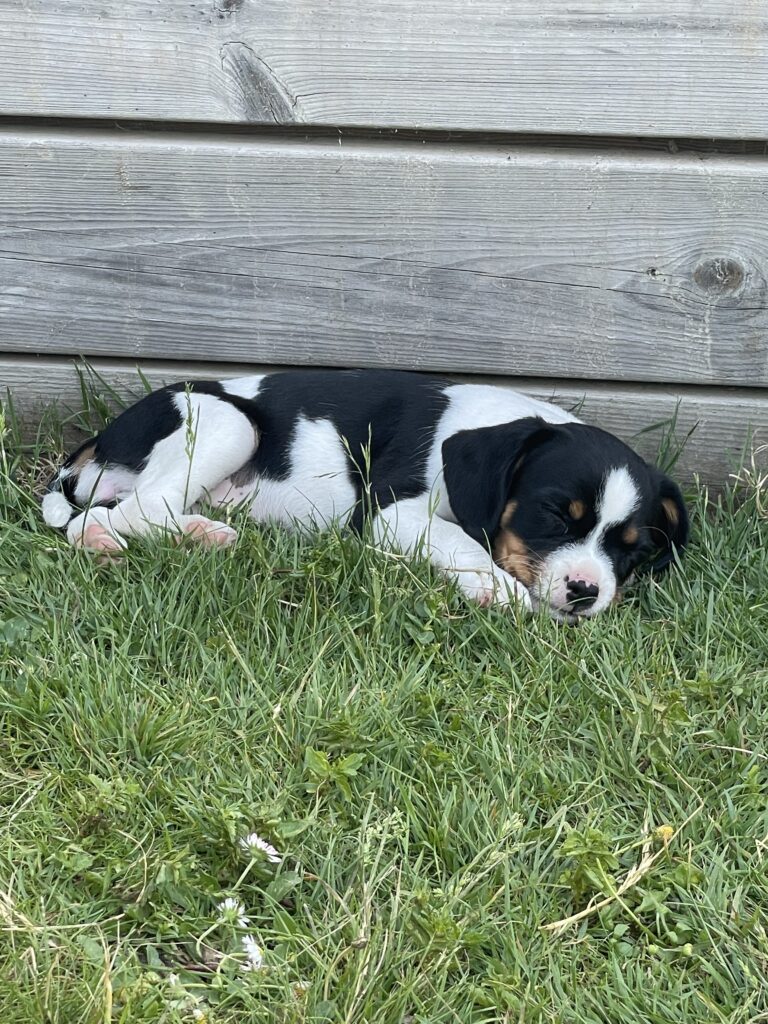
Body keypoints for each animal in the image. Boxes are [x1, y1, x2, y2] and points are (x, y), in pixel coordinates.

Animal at [42, 369, 688, 620]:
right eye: (554, 514)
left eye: (632, 550)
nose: (585, 592)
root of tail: (102, 438)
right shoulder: (391, 514)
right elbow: (460, 539)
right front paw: (497, 589)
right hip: (228, 422)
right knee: (127, 513)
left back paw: (190, 534)